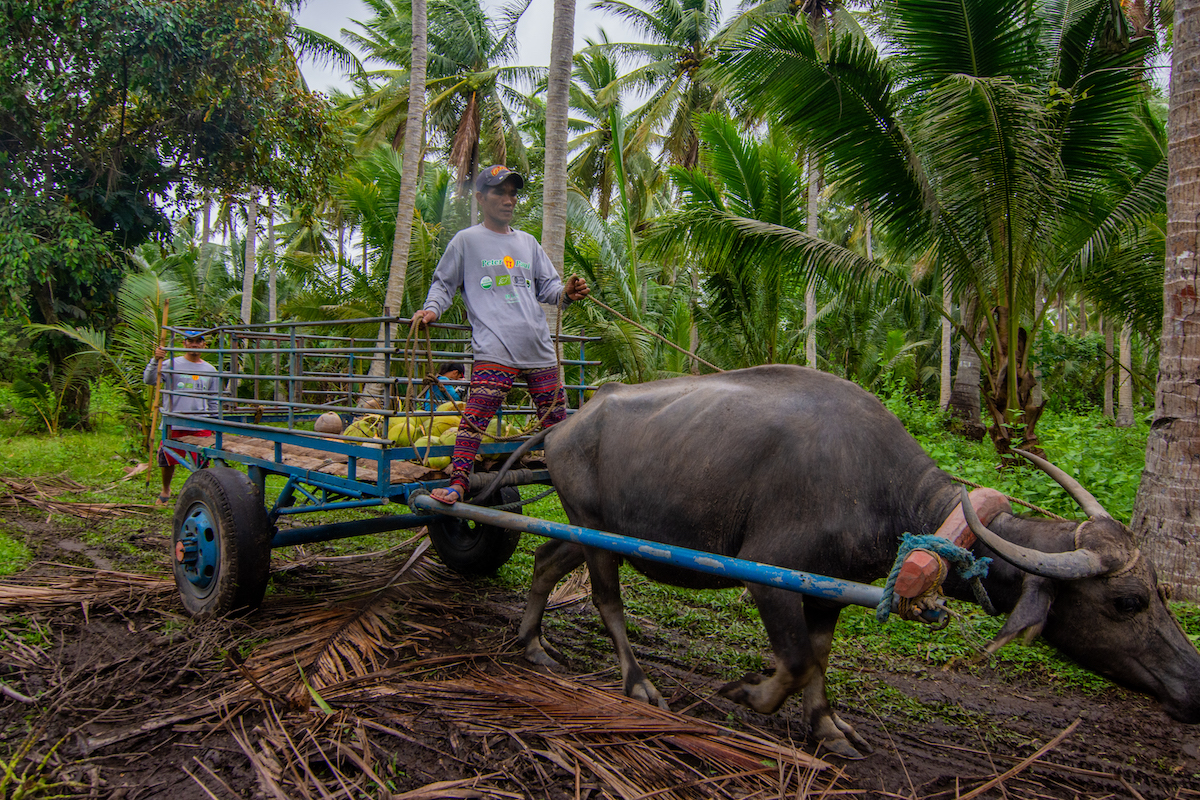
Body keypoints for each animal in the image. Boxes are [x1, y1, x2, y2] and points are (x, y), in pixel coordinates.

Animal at [511, 362, 1200, 758]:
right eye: (1127, 602)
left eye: (1161, 591)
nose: (1192, 683)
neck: (885, 493)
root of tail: (565, 425)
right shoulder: (772, 575)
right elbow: (791, 662)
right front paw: (745, 692)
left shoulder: (829, 588)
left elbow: (817, 658)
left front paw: (827, 728)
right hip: (597, 534)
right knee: (607, 598)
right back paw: (637, 684)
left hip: (588, 527)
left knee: (545, 558)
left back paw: (533, 644)